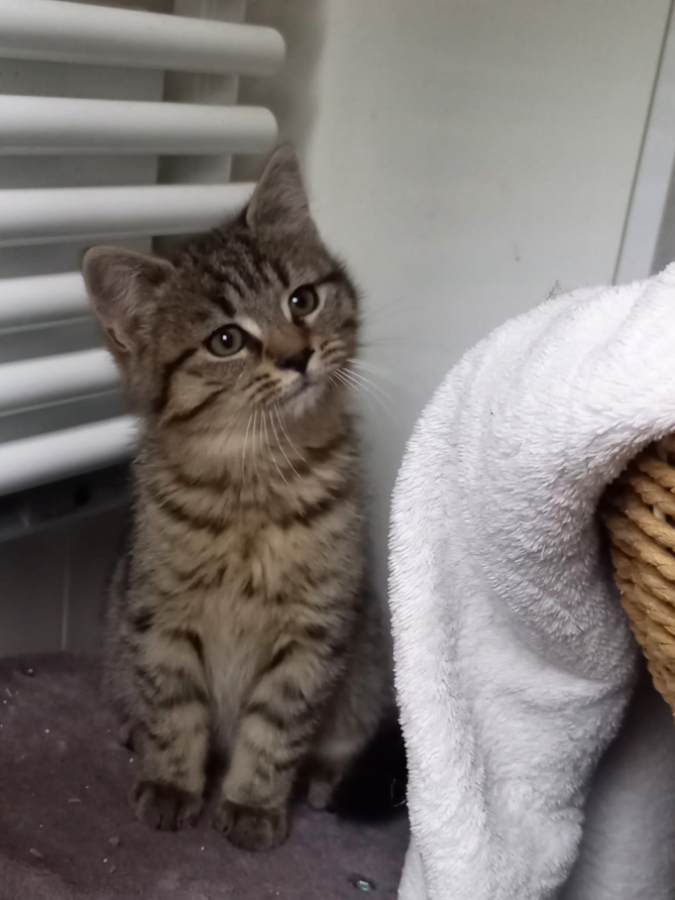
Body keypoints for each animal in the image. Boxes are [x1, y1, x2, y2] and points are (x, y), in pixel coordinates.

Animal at [82, 145, 394, 851]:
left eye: (302, 300)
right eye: (226, 340)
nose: (299, 355)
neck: (254, 482)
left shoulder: (315, 629)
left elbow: (276, 726)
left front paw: (253, 802)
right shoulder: (159, 618)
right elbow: (173, 710)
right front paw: (173, 782)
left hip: (364, 670)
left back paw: (324, 779)